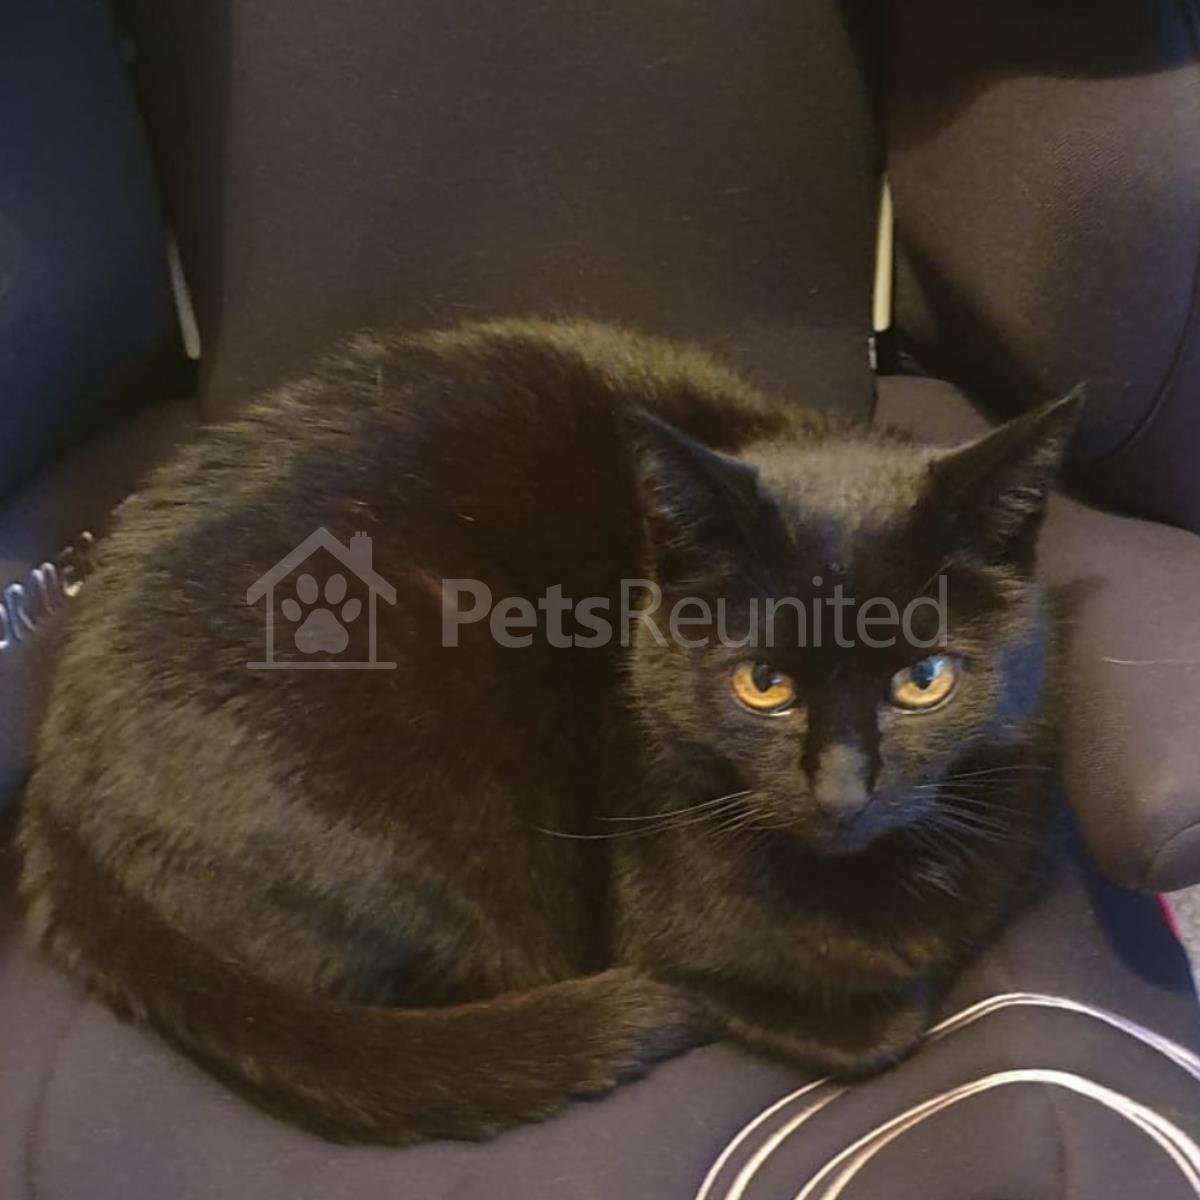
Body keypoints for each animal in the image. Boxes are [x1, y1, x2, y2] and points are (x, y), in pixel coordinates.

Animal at [18, 318, 1076, 1145]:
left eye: (924, 680)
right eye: (764, 684)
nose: (843, 788)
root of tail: (53, 802)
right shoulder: (665, 931)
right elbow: (872, 1021)